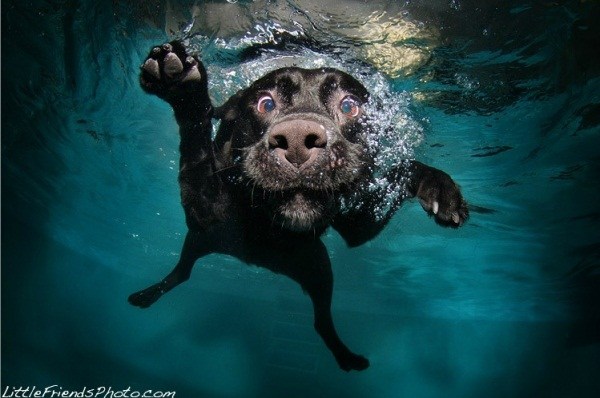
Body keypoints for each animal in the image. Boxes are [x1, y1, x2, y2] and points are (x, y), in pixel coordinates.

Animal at [127, 40, 468, 370]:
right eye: (265, 103)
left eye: (349, 105)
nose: (296, 140)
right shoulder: (205, 211)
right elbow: (196, 149)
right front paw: (182, 86)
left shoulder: (359, 224)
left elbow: (403, 169)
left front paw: (440, 188)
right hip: (200, 240)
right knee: (183, 273)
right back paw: (147, 295)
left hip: (318, 268)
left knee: (320, 321)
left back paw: (347, 357)